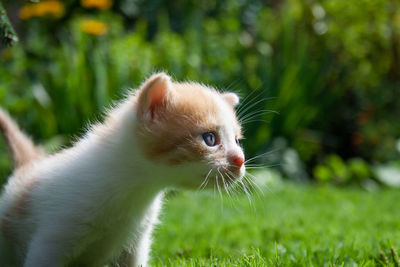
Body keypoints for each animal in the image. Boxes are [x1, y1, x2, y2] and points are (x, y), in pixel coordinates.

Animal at [0, 73, 244, 267]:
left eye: (236, 140)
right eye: (209, 138)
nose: (240, 160)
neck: (131, 193)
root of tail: (30, 164)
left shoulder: (135, 244)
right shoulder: (53, 239)